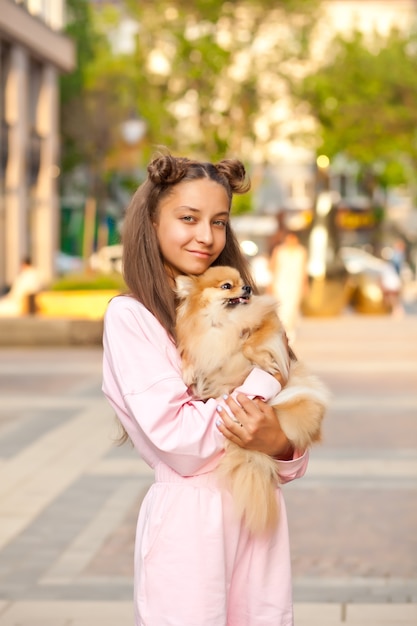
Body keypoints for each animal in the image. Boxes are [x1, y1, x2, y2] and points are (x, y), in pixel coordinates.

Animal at [175, 264, 328, 532]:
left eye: (242, 282)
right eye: (227, 286)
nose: (246, 287)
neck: (222, 322)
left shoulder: (268, 324)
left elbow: (249, 344)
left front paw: (264, 361)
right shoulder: (199, 340)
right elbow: (190, 354)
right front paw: (188, 370)